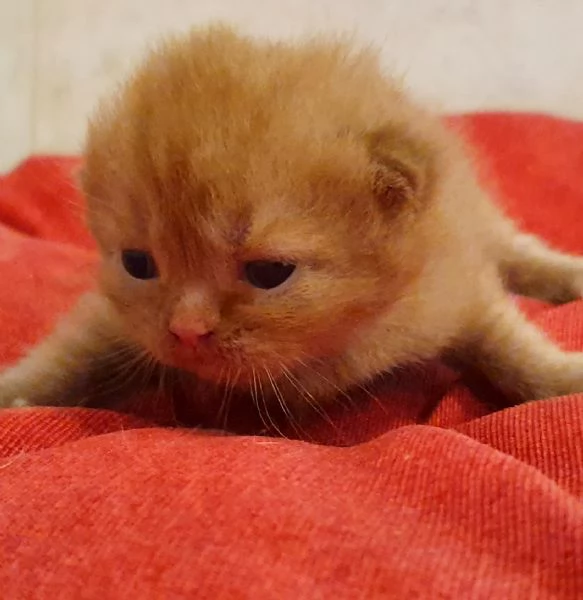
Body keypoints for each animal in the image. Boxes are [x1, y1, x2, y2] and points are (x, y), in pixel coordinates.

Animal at [1, 25, 583, 428]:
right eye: (138, 263)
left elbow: (510, 347)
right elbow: (69, 356)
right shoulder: (116, 322)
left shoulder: (452, 285)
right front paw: (15, 393)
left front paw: (561, 378)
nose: (185, 330)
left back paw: (564, 277)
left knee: (515, 249)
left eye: (269, 272)